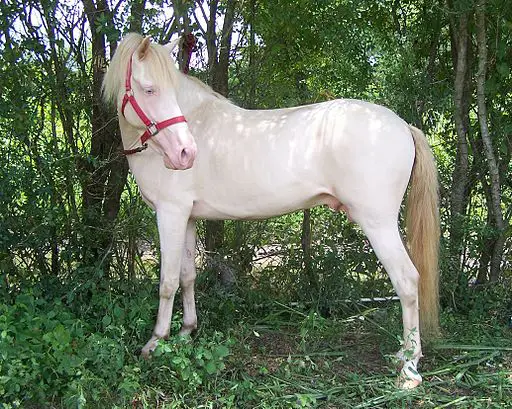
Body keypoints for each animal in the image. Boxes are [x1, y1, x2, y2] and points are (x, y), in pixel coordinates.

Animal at [104, 33, 440, 388]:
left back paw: (409, 368)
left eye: (160, 89)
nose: (185, 153)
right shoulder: (188, 217)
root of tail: (402, 125)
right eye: (150, 89)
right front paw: (186, 332)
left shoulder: (170, 213)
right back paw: (405, 356)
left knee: (406, 281)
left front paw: (156, 342)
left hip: (378, 224)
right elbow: (187, 276)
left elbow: (167, 281)